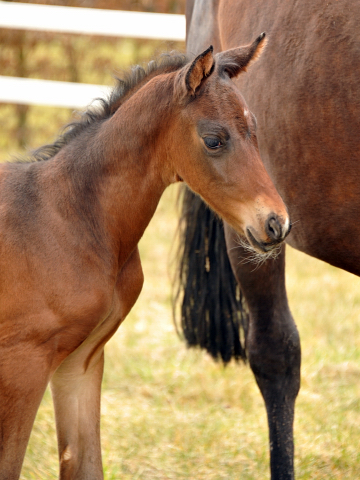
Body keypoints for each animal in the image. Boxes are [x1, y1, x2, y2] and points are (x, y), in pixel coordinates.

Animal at [0, 32, 286, 476]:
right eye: (213, 139)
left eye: (254, 129)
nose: (276, 223)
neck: (71, 217)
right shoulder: (22, 365)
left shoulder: (80, 362)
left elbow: (86, 465)